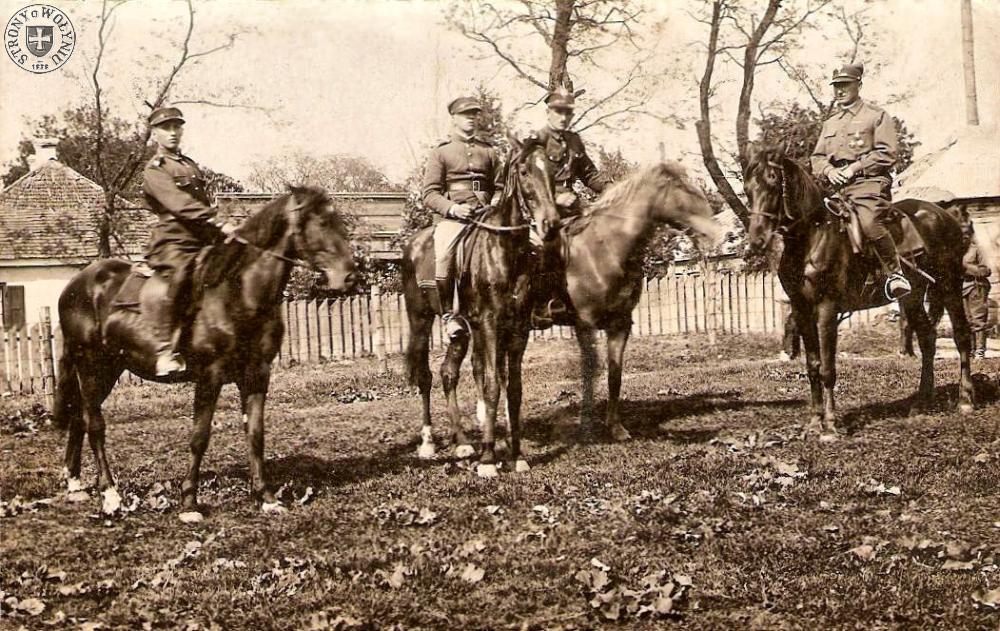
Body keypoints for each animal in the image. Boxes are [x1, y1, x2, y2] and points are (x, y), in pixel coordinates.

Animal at [54, 187, 357, 517]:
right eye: (322, 222)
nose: (350, 276)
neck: (238, 291)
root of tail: (76, 284)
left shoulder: (257, 375)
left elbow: (256, 434)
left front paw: (267, 497)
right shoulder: (209, 377)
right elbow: (199, 437)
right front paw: (189, 503)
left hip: (109, 368)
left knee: (79, 417)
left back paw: (75, 485)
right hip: (90, 364)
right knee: (95, 424)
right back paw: (111, 495)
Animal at [402, 135, 560, 477]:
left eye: (553, 172)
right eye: (524, 171)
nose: (550, 224)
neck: (504, 252)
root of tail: (414, 244)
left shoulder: (517, 328)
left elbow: (513, 389)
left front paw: (517, 455)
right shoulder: (488, 323)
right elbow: (491, 385)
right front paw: (488, 461)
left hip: (462, 331)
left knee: (448, 372)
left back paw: (463, 444)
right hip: (420, 320)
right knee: (425, 376)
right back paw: (428, 443)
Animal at [539, 162, 725, 442]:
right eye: (681, 188)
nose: (715, 233)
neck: (605, 248)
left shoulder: (620, 324)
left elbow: (614, 373)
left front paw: (616, 428)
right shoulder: (585, 324)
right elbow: (589, 372)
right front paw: (587, 428)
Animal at [743, 146, 974, 436]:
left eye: (773, 179)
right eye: (747, 188)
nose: (756, 241)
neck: (813, 236)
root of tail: (945, 216)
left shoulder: (827, 308)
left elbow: (828, 368)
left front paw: (830, 426)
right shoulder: (801, 309)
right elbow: (813, 365)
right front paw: (815, 421)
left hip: (949, 286)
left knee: (962, 335)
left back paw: (965, 400)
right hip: (912, 296)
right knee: (928, 339)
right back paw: (922, 402)